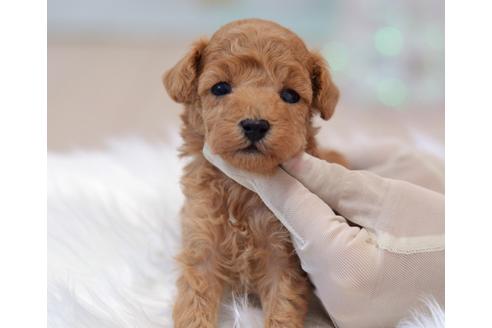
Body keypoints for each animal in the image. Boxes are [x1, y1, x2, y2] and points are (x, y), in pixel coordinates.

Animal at [163, 18, 344, 328]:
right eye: (220, 88)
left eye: (290, 95)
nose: (255, 125)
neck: (241, 187)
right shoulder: (201, 240)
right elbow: (195, 300)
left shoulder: (282, 257)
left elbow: (283, 306)